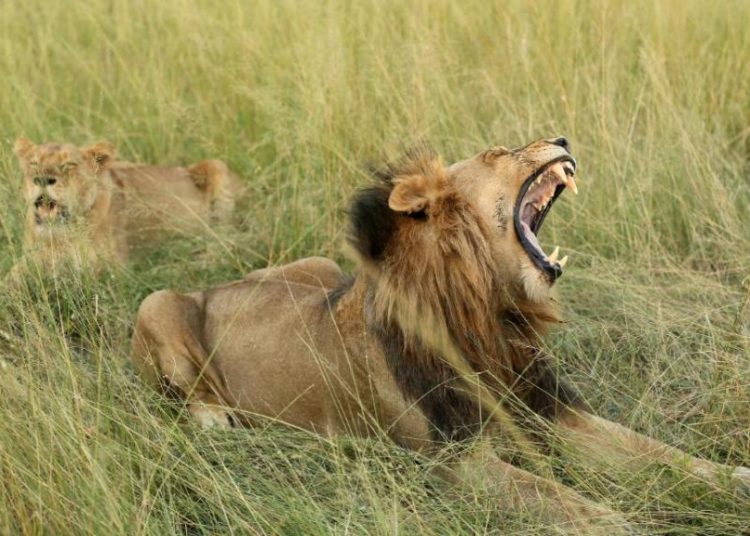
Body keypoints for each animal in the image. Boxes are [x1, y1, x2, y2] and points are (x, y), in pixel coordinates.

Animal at [13, 137, 244, 269]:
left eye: (69, 164)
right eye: (33, 163)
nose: (42, 179)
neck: (61, 234)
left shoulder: (112, 267)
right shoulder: (27, 262)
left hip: (217, 167)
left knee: (226, 237)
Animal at [131, 137, 749, 533]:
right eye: (497, 153)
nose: (561, 137)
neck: (491, 317)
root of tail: (220, 283)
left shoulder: (548, 413)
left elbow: (661, 455)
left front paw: (734, 479)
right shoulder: (455, 461)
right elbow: (565, 501)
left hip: (319, 268)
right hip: (154, 303)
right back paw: (218, 421)